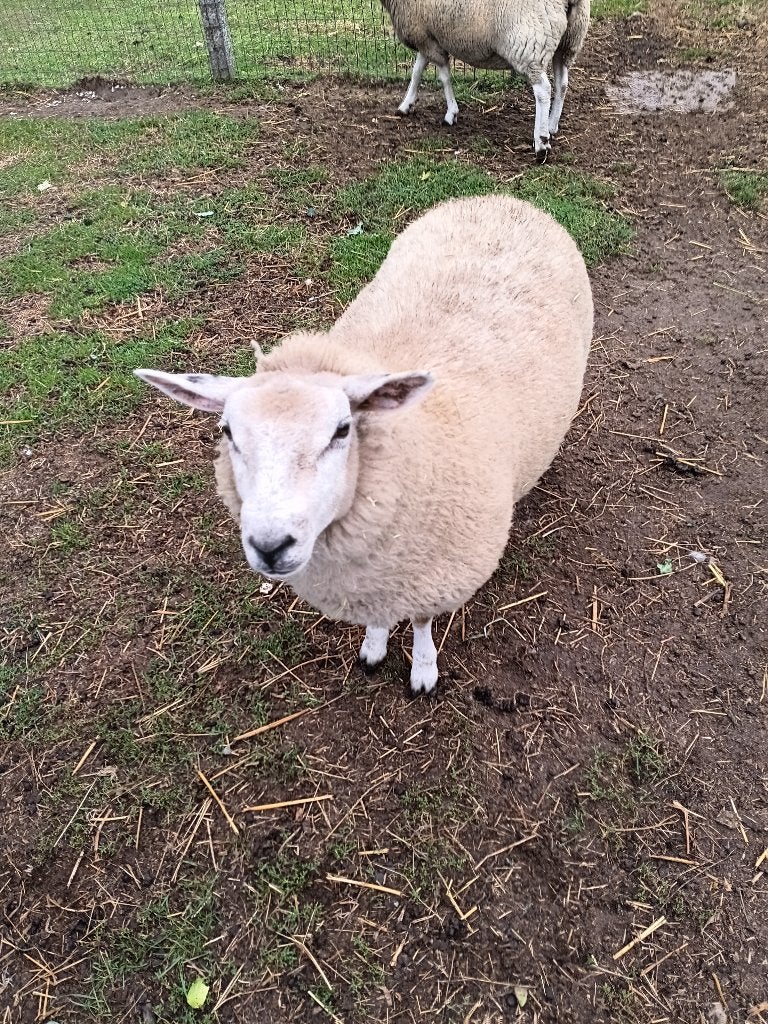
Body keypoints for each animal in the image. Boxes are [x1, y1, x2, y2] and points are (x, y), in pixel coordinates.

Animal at [135, 194, 593, 695]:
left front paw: (423, 669)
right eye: (227, 432)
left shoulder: (435, 576)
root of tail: (498, 200)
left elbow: (422, 623)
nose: (271, 545)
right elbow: (379, 619)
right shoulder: (376, 584)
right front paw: (374, 646)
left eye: (342, 430)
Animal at [380, 0, 591, 160]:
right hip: (568, 42)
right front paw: (406, 105)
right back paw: (552, 125)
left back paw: (541, 143)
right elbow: (417, 71)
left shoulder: (426, 38)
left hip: (529, 43)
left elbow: (444, 77)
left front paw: (451, 113)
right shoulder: (427, 38)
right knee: (562, 84)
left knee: (543, 90)